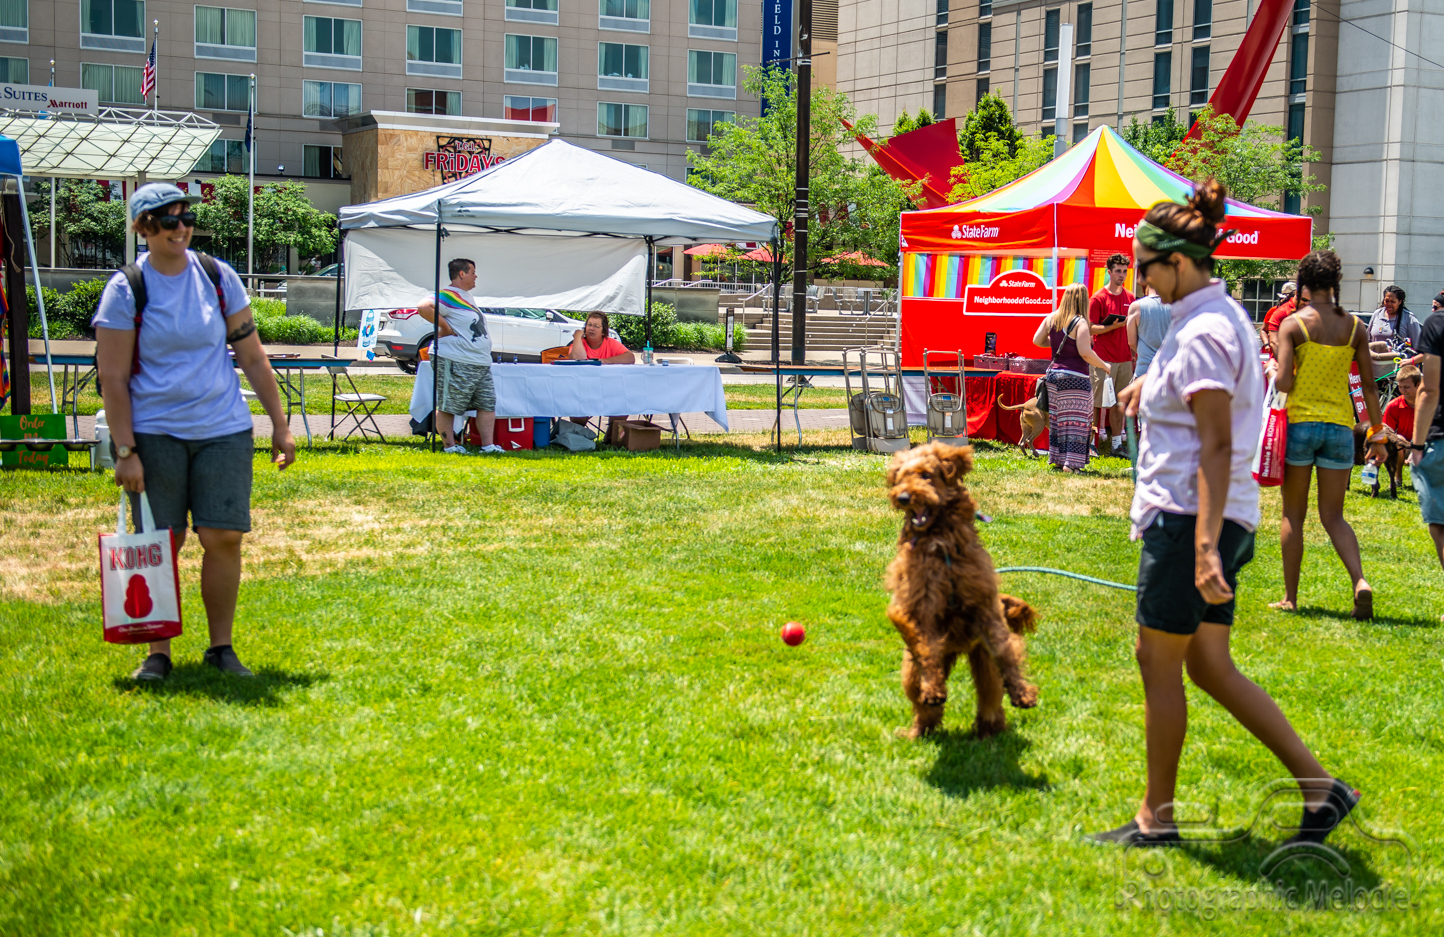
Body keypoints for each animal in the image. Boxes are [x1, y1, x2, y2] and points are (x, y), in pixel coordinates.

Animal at [884, 442, 1039, 739]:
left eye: (926, 475)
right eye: (900, 478)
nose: (903, 497)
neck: (941, 544)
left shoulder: (985, 606)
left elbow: (1005, 652)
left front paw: (1022, 692)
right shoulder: (913, 608)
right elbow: (926, 649)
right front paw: (933, 689)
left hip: (982, 658)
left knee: (990, 695)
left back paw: (990, 733)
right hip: (910, 670)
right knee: (922, 702)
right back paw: (918, 731)